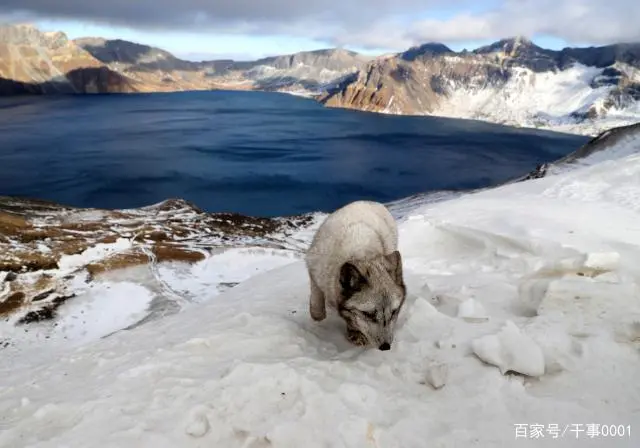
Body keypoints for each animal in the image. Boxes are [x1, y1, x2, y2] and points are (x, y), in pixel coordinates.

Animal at [304, 200, 404, 350]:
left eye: (393, 312)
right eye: (368, 314)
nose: (385, 346)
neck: (360, 254)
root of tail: (371, 202)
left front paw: (354, 332)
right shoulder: (314, 268)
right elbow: (317, 300)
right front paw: (317, 315)